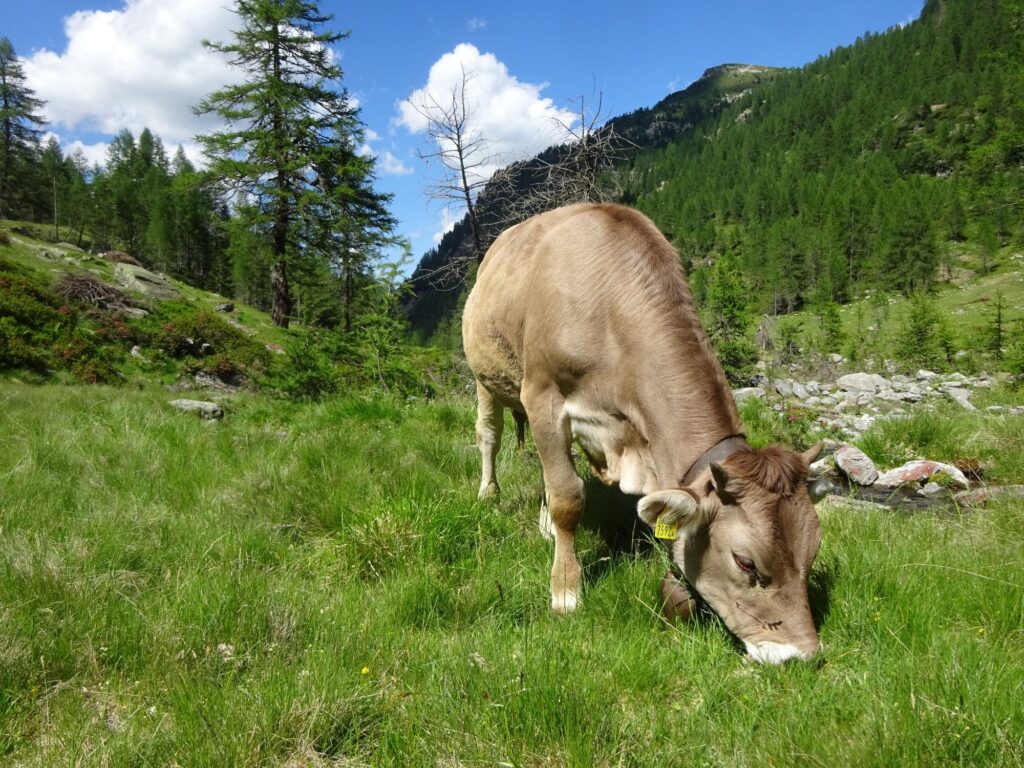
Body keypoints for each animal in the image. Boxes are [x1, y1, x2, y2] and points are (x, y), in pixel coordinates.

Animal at [462, 203, 828, 665]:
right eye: (746, 563)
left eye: (812, 551)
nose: (802, 655)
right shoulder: (543, 396)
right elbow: (568, 497)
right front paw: (566, 591)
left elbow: (565, 483)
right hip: (486, 377)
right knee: (489, 436)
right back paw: (488, 493)